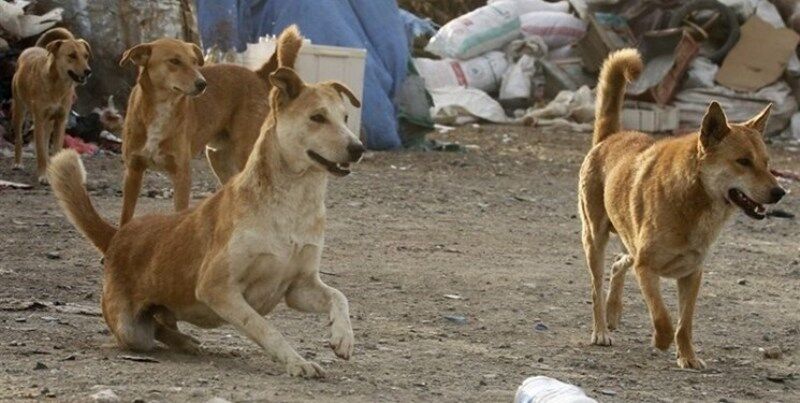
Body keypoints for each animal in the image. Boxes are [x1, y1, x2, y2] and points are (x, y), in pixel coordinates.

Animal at [11, 28, 91, 185]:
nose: (88, 71)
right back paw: (18, 163)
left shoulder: (60, 120)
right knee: (19, 138)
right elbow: (41, 151)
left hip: (49, 121)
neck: (58, 86)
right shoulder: (39, 121)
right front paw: (43, 175)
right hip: (19, 110)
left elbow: (56, 149)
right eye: (72, 55)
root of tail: (33, 48)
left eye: (85, 56)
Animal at [119, 25, 304, 226]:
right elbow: (125, 217)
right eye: (174, 61)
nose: (202, 84)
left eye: (194, 62)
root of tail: (256, 74)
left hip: (244, 153)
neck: (161, 108)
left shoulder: (182, 174)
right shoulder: (133, 171)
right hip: (218, 159)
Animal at [580, 49, 784, 370]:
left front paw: (688, 357)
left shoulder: (691, 274)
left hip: (629, 242)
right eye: (743, 162)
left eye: (766, 162)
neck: (695, 199)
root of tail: (609, 138)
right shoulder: (646, 268)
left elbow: (684, 324)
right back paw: (601, 330)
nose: (780, 192)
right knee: (596, 287)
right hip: (594, 239)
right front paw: (661, 342)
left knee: (618, 262)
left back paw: (614, 312)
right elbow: (663, 318)